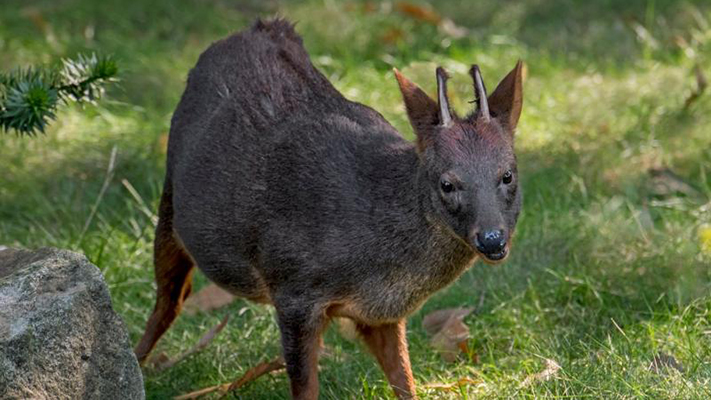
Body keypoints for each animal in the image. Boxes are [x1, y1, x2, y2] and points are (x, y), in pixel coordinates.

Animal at [135, 18, 524, 400]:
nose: (492, 239)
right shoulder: (292, 288)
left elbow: (405, 380)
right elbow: (305, 386)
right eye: (447, 183)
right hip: (169, 201)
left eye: (507, 174)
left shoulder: (381, 314)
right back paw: (137, 362)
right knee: (169, 300)